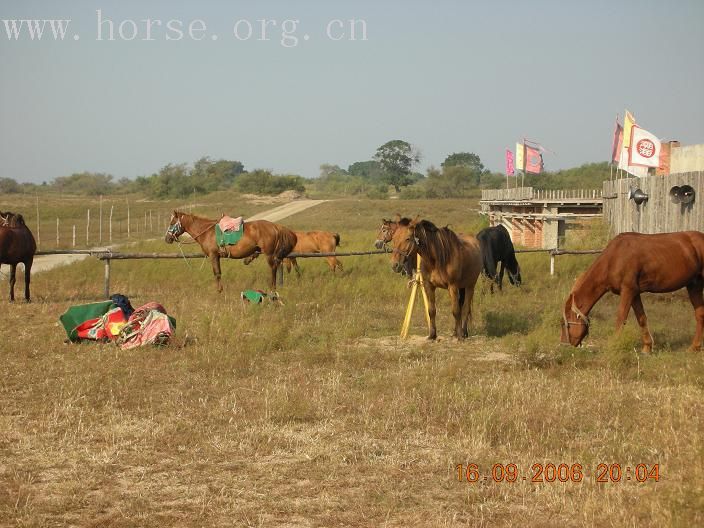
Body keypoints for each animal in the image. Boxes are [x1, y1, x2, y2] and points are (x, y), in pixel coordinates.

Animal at [166, 211, 296, 292]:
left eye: (172, 223)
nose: (167, 238)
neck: (206, 232)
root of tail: (276, 226)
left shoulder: (213, 255)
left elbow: (217, 273)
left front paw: (219, 291)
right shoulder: (217, 257)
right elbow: (219, 272)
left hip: (269, 254)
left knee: (273, 268)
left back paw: (272, 287)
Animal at [560, 232, 704, 352]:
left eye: (564, 324)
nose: (563, 345)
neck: (614, 258)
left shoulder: (628, 291)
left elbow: (621, 318)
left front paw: (614, 345)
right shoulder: (634, 294)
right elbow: (642, 318)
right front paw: (647, 348)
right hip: (694, 285)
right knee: (700, 315)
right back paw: (694, 347)